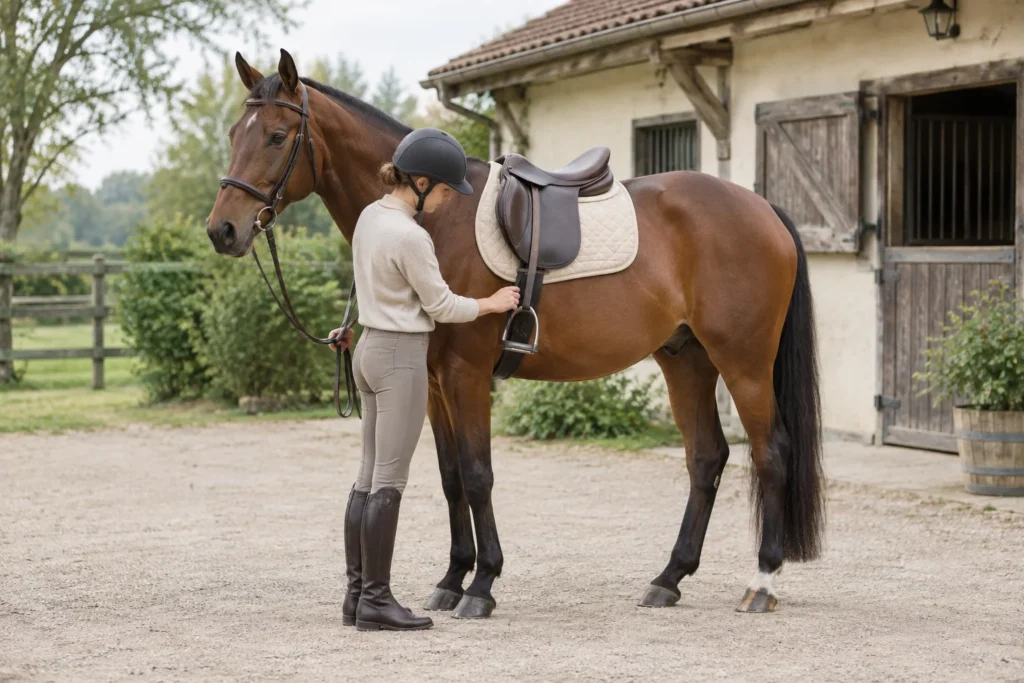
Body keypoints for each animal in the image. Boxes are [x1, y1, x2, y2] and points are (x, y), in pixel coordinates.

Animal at [207, 49, 824, 618]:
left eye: (277, 136)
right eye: (236, 133)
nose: (223, 231)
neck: (435, 217)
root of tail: (762, 207)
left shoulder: (467, 376)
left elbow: (478, 475)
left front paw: (481, 586)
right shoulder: (433, 384)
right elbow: (451, 477)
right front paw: (451, 579)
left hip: (742, 363)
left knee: (771, 453)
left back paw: (761, 583)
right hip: (685, 359)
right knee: (706, 458)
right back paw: (668, 578)